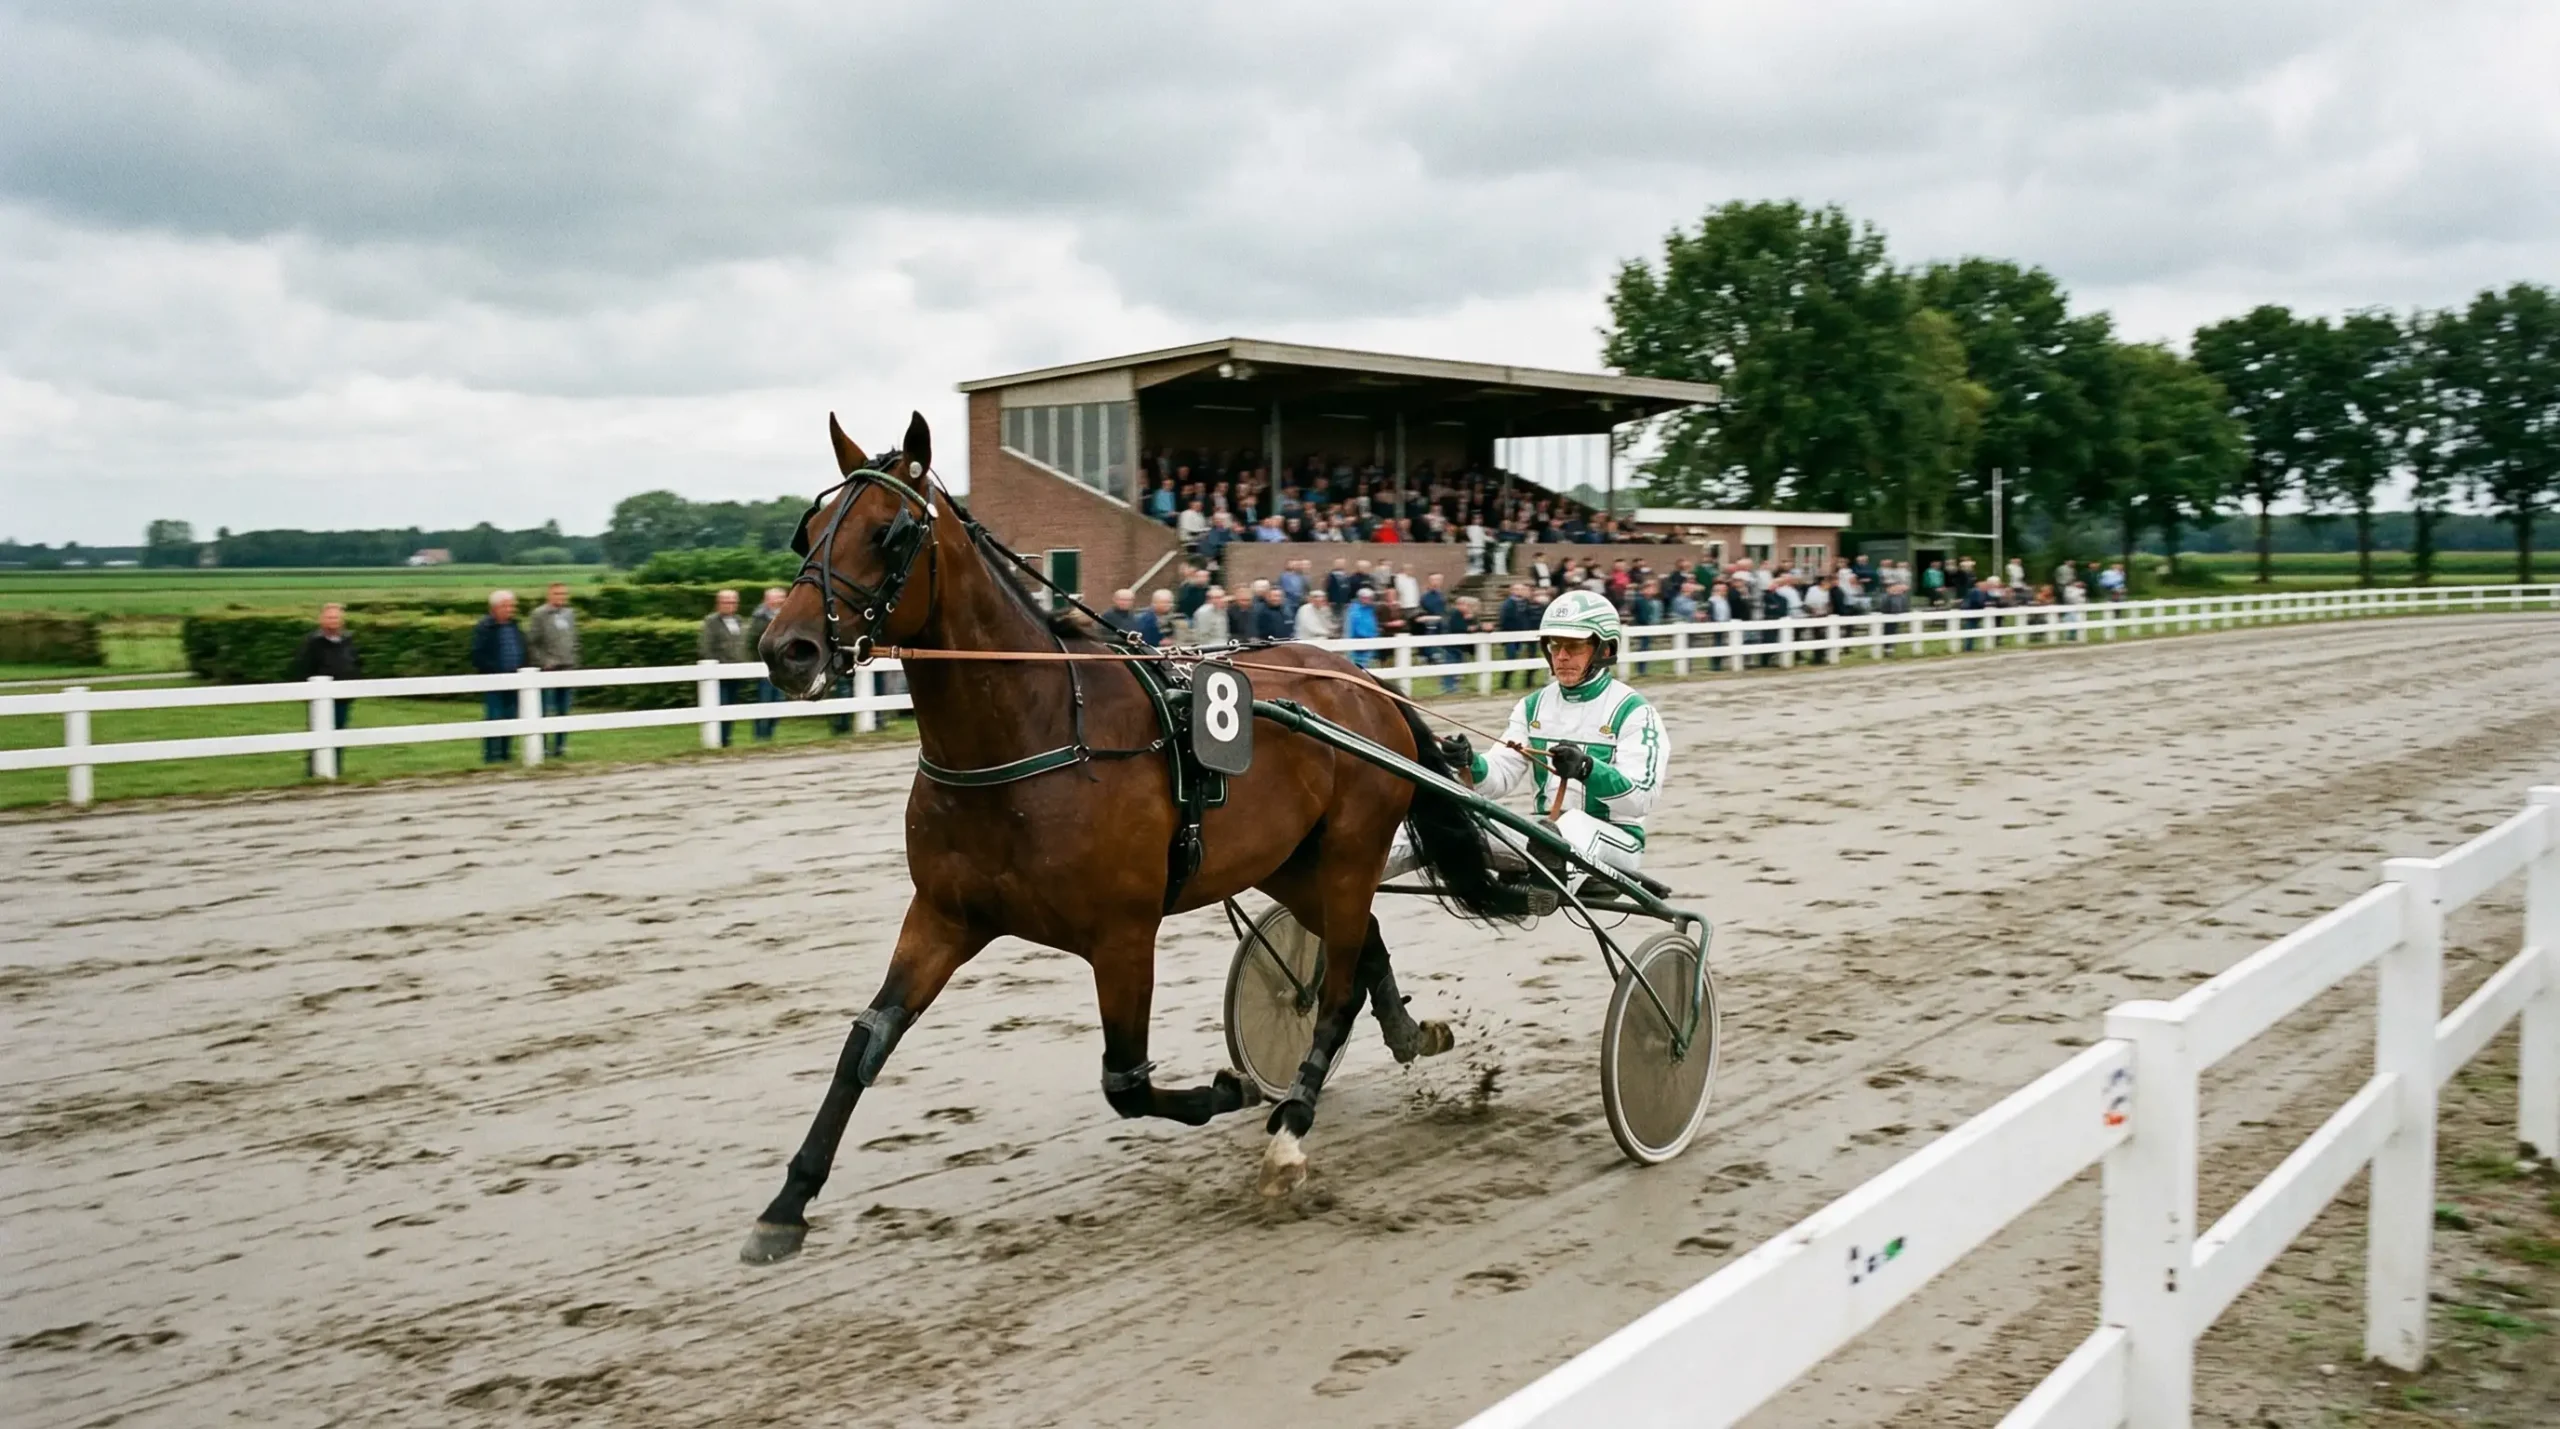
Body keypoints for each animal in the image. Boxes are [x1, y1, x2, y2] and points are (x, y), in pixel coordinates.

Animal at [737, 410, 1523, 1264]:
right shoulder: (945, 913)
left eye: (888, 533)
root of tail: (1364, 682)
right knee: (1365, 944)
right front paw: (785, 1204)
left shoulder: (1121, 932)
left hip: (1350, 850)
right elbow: (868, 1040)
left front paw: (1228, 1087)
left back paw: (1290, 1132)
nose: (787, 649)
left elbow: (1127, 1080)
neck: (1036, 729)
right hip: (1288, 860)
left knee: (1339, 986)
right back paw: (1410, 1035)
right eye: (811, 530)